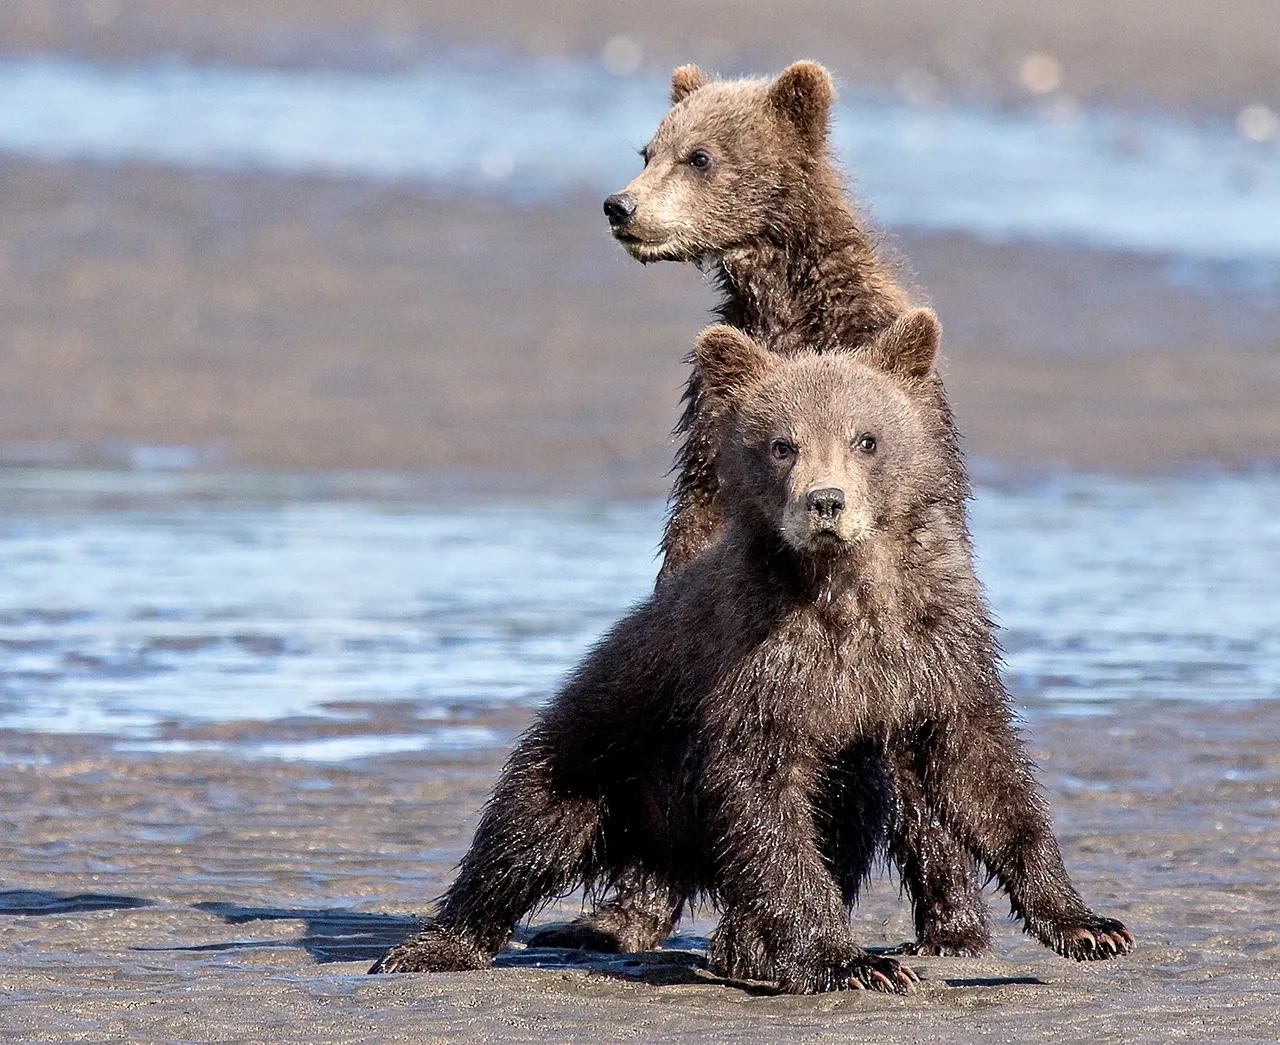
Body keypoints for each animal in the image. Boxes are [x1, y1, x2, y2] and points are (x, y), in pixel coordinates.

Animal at [369, 312, 1134, 991]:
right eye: (781, 443)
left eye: (866, 438)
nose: (825, 502)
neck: (845, 590)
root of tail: (667, 855)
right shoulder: (758, 665)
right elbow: (764, 801)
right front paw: (853, 961)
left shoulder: (935, 646)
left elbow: (980, 769)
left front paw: (1087, 924)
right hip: (606, 739)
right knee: (527, 827)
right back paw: (434, 944)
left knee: (841, 817)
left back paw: (745, 949)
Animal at [550, 60, 987, 960]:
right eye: (647, 147)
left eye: (701, 157)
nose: (620, 205)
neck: (786, 304)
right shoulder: (714, 412)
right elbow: (697, 531)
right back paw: (619, 915)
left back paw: (942, 923)